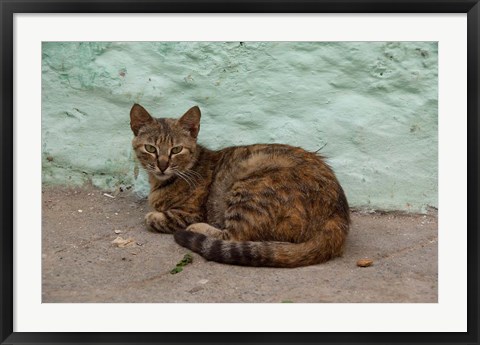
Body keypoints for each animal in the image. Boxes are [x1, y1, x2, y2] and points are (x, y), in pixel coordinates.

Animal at [130, 103, 348, 268]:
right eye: (150, 148)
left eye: (176, 150)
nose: (162, 165)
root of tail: (336, 216)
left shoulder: (190, 213)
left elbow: (155, 218)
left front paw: (155, 216)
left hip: (249, 188)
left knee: (235, 237)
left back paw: (197, 229)